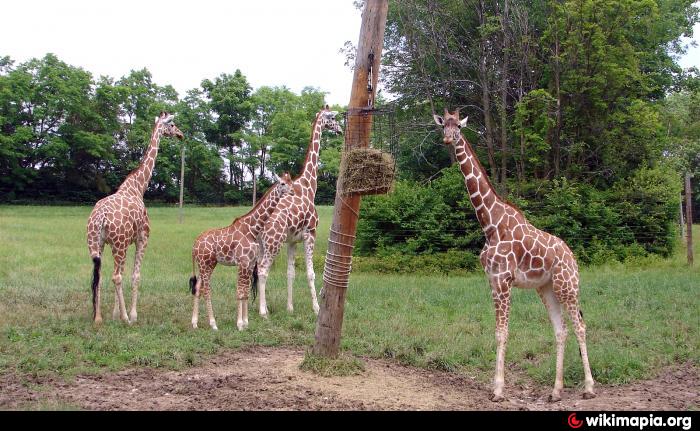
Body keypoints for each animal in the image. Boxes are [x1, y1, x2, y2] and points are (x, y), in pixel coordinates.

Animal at [87, 111, 183, 324]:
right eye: (172, 124)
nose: (181, 135)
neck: (138, 187)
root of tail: (100, 218)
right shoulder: (142, 238)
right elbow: (135, 276)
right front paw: (131, 314)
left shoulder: (121, 243)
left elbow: (122, 275)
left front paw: (114, 314)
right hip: (118, 244)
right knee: (115, 276)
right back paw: (125, 318)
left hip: (97, 244)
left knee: (99, 274)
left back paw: (98, 317)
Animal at [189, 172, 296, 330]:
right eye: (282, 183)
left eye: (291, 182)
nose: (293, 192)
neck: (253, 229)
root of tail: (195, 244)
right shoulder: (243, 262)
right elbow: (240, 292)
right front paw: (239, 324)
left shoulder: (250, 263)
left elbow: (245, 292)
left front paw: (246, 322)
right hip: (206, 263)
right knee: (206, 290)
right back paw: (213, 324)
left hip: (206, 264)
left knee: (197, 288)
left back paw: (195, 323)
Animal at [254, 106, 342, 318]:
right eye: (333, 118)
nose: (340, 130)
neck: (309, 186)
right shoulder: (310, 234)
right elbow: (310, 273)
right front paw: (317, 308)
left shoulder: (293, 241)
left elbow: (290, 273)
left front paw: (290, 308)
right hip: (273, 243)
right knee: (263, 270)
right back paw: (263, 311)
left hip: (262, 245)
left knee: (257, 270)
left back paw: (259, 306)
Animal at [434, 109, 592, 404]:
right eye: (443, 126)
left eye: (458, 126)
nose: (448, 139)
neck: (490, 224)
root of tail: (572, 257)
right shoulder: (492, 281)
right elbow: (497, 331)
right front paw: (495, 386)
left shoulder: (503, 280)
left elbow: (502, 332)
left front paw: (498, 389)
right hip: (546, 288)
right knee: (561, 330)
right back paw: (556, 391)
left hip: (567, 285)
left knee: (580, 326)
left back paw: (589, 387)